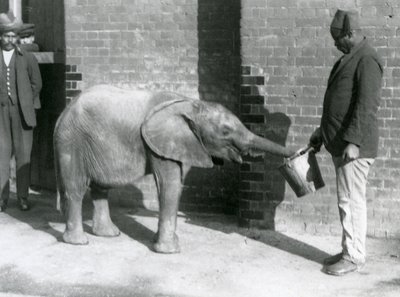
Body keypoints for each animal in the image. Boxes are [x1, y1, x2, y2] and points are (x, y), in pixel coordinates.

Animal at [54, 84, 294, 253]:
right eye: (225, 131)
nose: (297, 154)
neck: (192, 104)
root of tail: (63, 112)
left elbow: (176, 185)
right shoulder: (161, 143)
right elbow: (168, 185)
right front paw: (169, 251)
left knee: (101, 188)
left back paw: (109, 235)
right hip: (72, 142)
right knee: (75, 188)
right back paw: (78, 242)